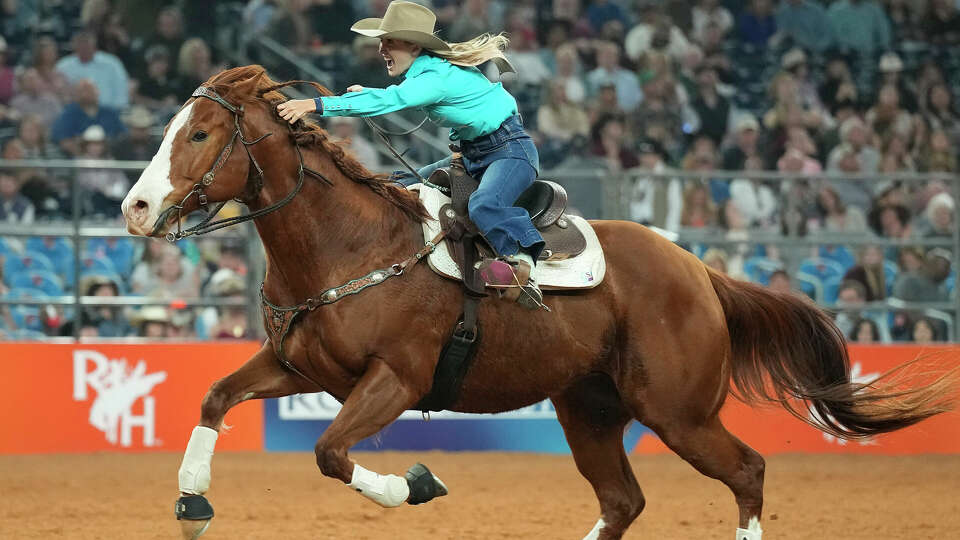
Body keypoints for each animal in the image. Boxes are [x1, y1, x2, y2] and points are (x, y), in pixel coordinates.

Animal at [124, 66, 956, 540]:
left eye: (200, 133)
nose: (135, 207)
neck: (350, 245)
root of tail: (700, 272)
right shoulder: (299, 367)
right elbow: (214, 397)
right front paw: (192, 503)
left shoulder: (395, 380)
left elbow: (331, 453)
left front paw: (419, 483)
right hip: (588, 409)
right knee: (622, 501)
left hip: (678, 412)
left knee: (747, 472)